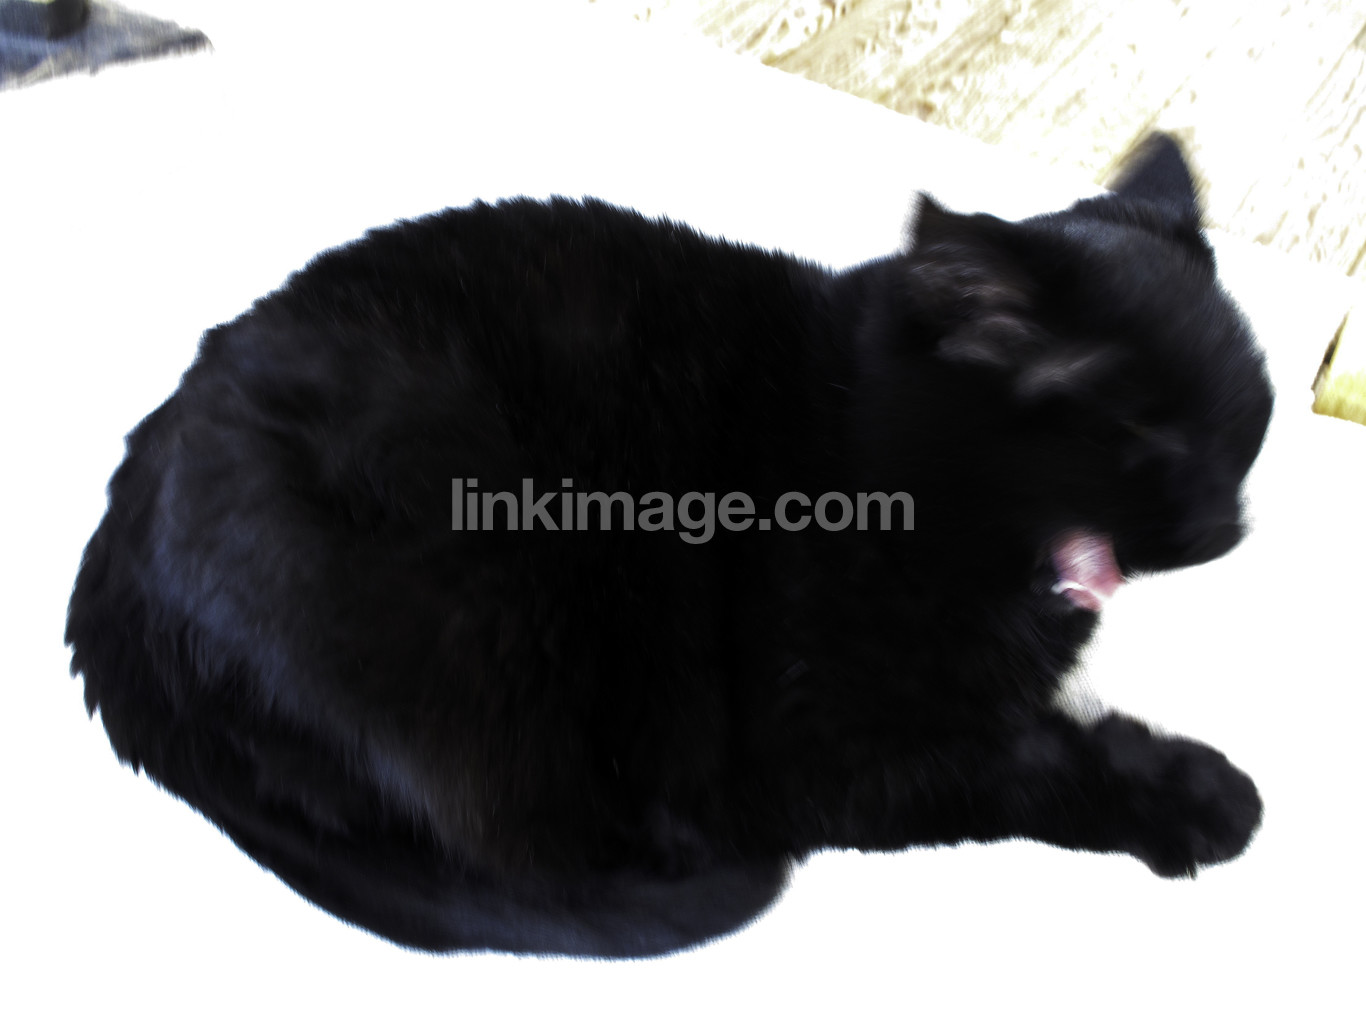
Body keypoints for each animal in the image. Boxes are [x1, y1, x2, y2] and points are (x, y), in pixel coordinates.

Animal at [66, 134, 1273, 958]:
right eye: (1141, 433)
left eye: (1246, 424)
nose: (1226, 530)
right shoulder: (825, 747)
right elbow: (1023, 759)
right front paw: (1201, 799)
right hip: (482, 623)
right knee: (508, 841)